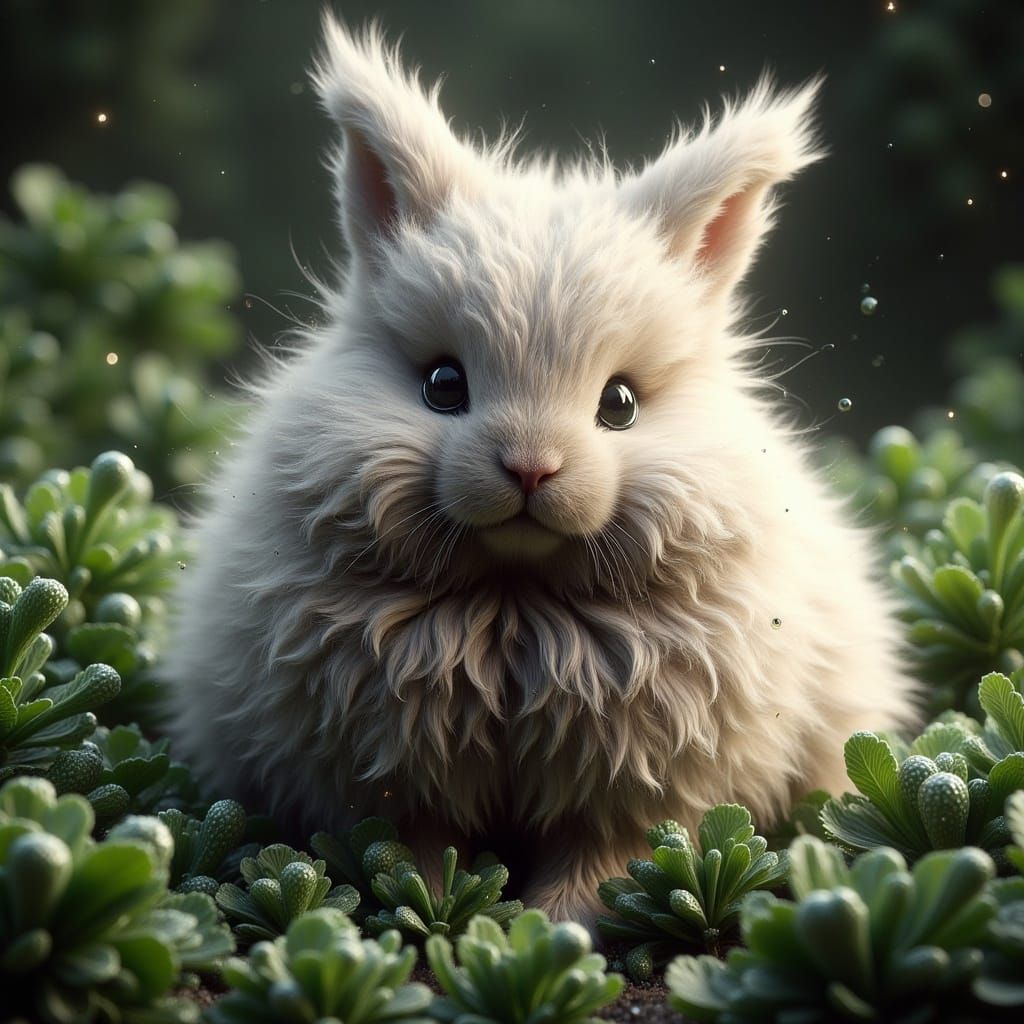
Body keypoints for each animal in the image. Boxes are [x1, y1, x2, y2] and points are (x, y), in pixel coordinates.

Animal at [165, 16, 919, 930]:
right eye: (442, 386)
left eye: (621, 405)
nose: (530, 467)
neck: (514, 604)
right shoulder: (394, 781)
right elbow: (414, 849)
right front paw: (440, 910)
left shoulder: (636, 789)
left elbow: (606, 859)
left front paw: (556, 926)